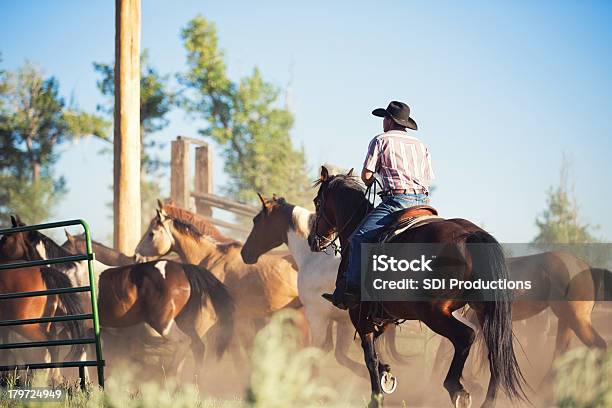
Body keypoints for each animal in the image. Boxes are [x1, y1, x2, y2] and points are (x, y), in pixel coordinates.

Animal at [308, 167, 528, 408]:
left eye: (317, 202)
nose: (312, 240)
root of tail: (470, 235)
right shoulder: (382, 317)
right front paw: (386, 373)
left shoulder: (359, 314)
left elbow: (370, 357)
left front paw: (377, 397)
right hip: (482, 310)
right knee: (495, 353)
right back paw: (487, 401)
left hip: (432, 312)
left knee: (465, 337)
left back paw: (456, 388)